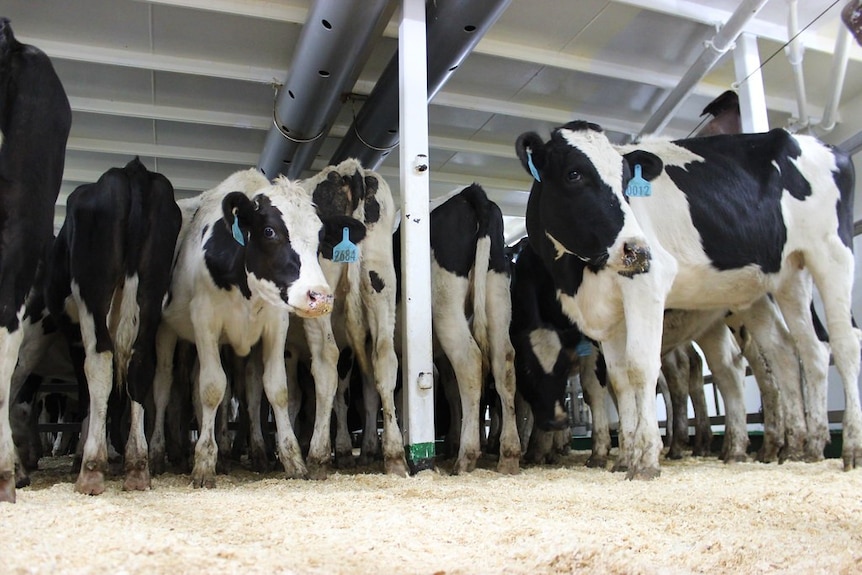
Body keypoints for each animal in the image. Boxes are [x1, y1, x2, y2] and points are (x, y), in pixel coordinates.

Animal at [44, 159, 182, 496]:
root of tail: (133, 171)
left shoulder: (75, 340)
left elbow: (86, 397)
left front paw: (82, 455)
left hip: (93, 296)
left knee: (99, 364)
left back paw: (91, 468)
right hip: (150, 293)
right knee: (139, 365)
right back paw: (138, 466)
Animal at [147, 169, 362, 488]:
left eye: (321, 236)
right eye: (269, 231)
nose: (319, 296)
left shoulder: (275, 325)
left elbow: (276, 389)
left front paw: (293, 460)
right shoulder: (205, 322)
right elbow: (212, 388)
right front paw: (204, 465)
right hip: (167, 332)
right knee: (163, 384)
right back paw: (159, 453)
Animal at [516, 120, 860, 476]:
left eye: (627, 183)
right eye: (573, 174)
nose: (638, 250)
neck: (575, 277)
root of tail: (821, 144)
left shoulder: (647, 284)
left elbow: (639, 367)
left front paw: (645, 459)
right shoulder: (606, 317)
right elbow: (620, 380)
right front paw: (625, 458)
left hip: (832, 254)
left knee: (843, 344)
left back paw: (849, 446)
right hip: (783, 280)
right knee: (797, 351)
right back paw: (803, 447)